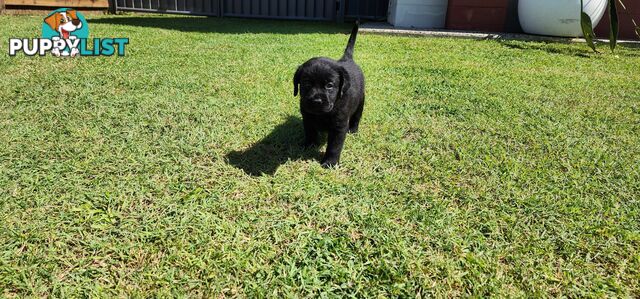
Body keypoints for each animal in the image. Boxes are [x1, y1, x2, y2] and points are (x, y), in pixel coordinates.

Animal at [292, 22, 362, 169]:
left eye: (329, 85)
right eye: (306, 83)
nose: (317, 101)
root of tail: (347, 59)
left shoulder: (339, 127)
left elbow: (334, 146)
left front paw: (330, 162)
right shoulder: (307, 118)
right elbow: (310, 133)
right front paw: (309, 145)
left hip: (361, 102)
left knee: (357, 117)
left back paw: (353, 129)